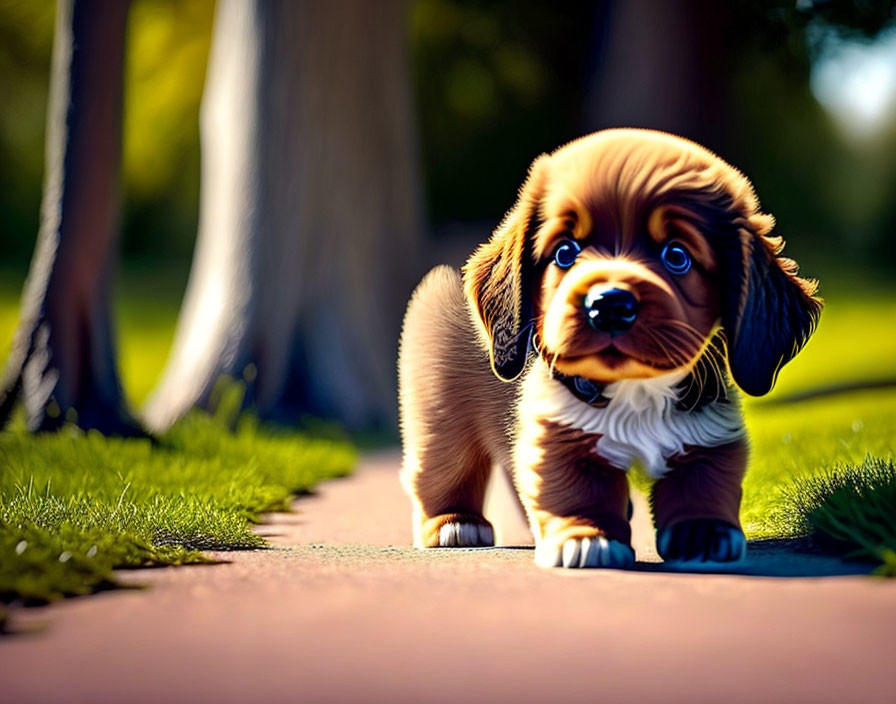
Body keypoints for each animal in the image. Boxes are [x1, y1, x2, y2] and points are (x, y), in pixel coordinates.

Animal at [400, 129, 824, 568]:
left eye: (677, 256)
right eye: (565, 252)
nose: (609, 304)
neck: (635, 391)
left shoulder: (709, 431)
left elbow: (704, 484)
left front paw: (704, 532)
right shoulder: (557, 432)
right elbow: (576, 491)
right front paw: (586, 537)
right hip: (440, 416)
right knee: (441, 472)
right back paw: (454, 523)